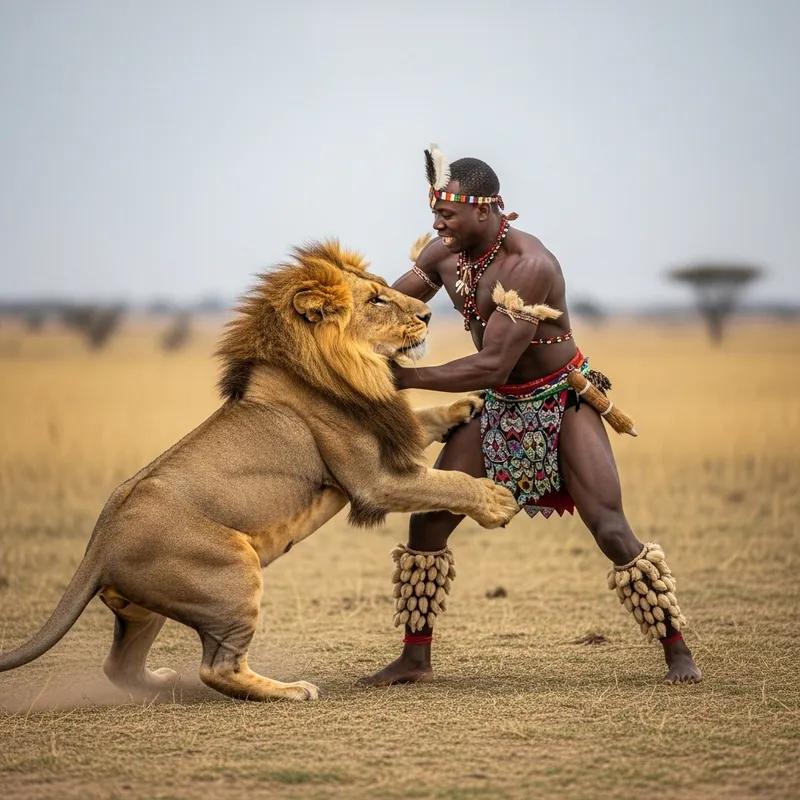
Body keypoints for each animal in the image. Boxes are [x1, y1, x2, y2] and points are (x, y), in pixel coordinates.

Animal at [0, 240, 520, 702]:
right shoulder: (376, 482)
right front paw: (496, 501)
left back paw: (166, 683)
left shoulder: (390, 433)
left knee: (119, 666)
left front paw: (466, 405)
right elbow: (448, 482)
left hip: (146, 608)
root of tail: (99, 544)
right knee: (218, 668)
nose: (429, 316)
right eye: (376, 299)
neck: (348, 367)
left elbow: (426, 419)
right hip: (232, 572)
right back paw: (290, 690)